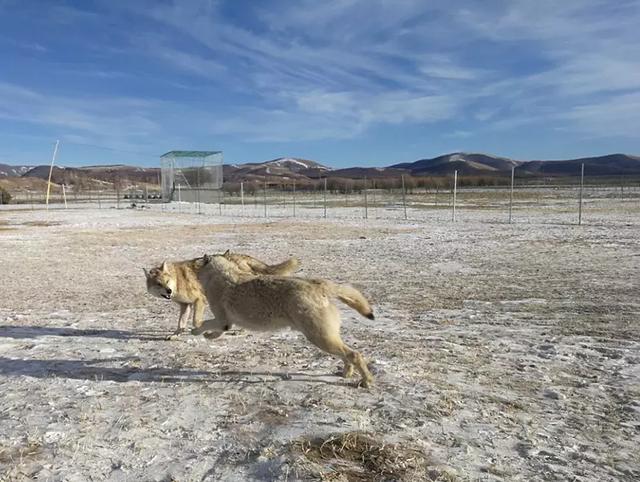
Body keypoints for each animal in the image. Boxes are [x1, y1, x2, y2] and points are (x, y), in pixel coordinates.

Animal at [144, 252, 298, 338]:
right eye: (158, 284)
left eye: (167, 281)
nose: (169, 291)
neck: (178, 278)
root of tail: (241, 256)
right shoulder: (185, 305)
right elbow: (181, 323)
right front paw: (175, 335)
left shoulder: (199, 300)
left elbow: (195, 321)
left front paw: (199, 328)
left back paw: (241, 330)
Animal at [192, 252, 378, 388]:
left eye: (197, 263)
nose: (192, 264)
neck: (221, 275)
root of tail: (319, 285)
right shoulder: (226, 323)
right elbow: (217, 333)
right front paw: (208, 336)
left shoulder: (221, 320)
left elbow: (204, 324)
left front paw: (196, 331)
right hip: (326, 338)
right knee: (347, 355)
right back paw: (347, 373)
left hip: (320, 338)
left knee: (354, 354)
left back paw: (366, 381)